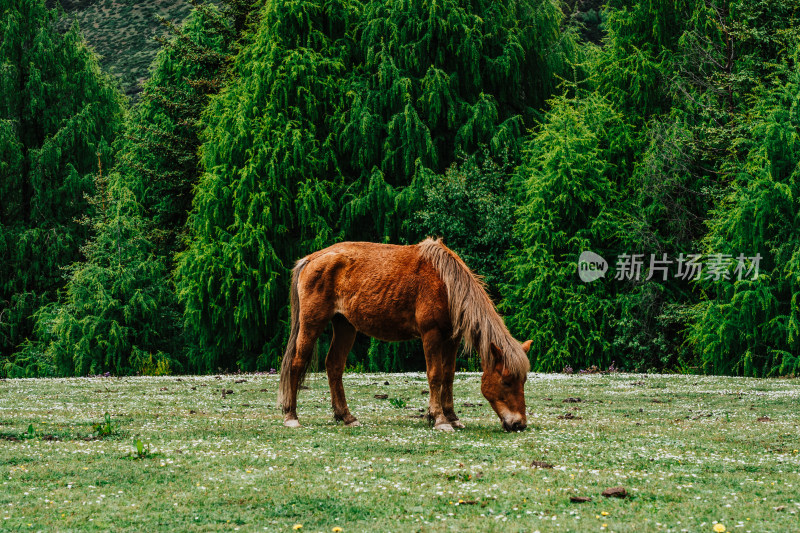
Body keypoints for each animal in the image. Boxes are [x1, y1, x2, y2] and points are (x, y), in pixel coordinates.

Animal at [276, 239, 532, 430]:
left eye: (523, 381)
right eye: (506, 381)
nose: (519, 424)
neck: (446, 283)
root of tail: (311, 259)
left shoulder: (452, 339)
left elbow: (448, 376)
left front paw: (452, 417)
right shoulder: (431, 335)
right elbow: (435, 375)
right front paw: (439, 419)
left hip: (345, 326)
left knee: (334, 366)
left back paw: (346, 416)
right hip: (312, 323)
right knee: (297, 363)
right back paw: (291, 417)